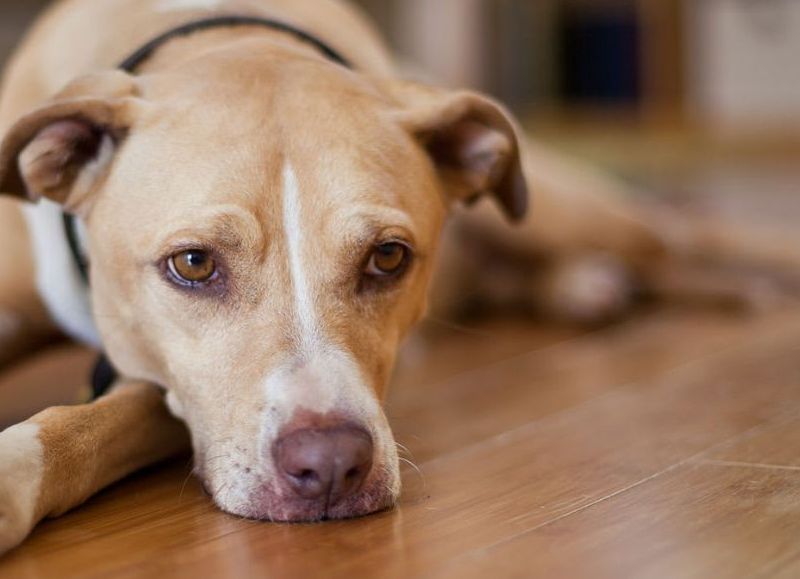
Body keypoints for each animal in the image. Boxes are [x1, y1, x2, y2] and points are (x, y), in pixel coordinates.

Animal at [0, 0, 792, 556]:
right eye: (193, 264)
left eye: (387, 257)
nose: (329, 467)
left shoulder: (162, 389)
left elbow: (89, 423)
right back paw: (588, 289)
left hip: (571, 211)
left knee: (684, 231)